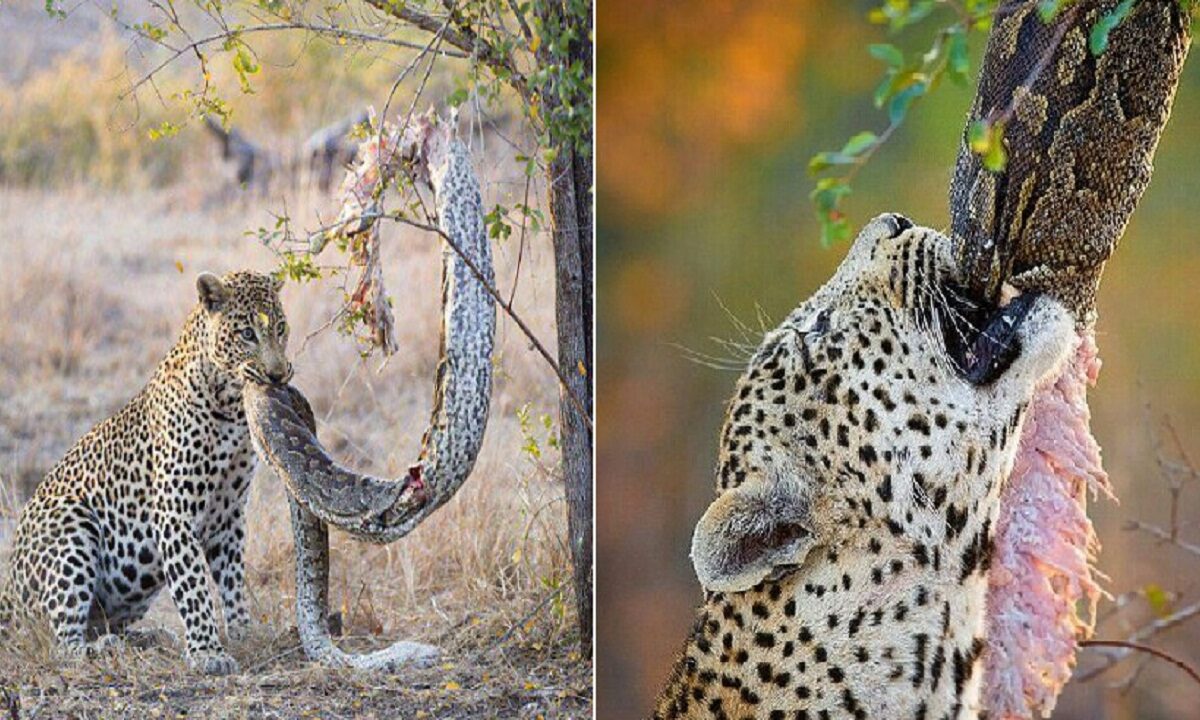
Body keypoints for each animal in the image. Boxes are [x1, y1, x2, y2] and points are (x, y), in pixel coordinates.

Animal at [0, 270, 291, 675]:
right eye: (247, 333)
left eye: (280, 328)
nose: (277, 375)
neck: (230, 403)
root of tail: (7, 592)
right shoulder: (174, 511)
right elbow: (193, 585)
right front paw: (208, 652)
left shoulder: (229, 515)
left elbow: (233, 581)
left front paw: (244, 634)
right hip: (71, 520)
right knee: (62, 644)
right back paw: (104, 649)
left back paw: (150, 638)